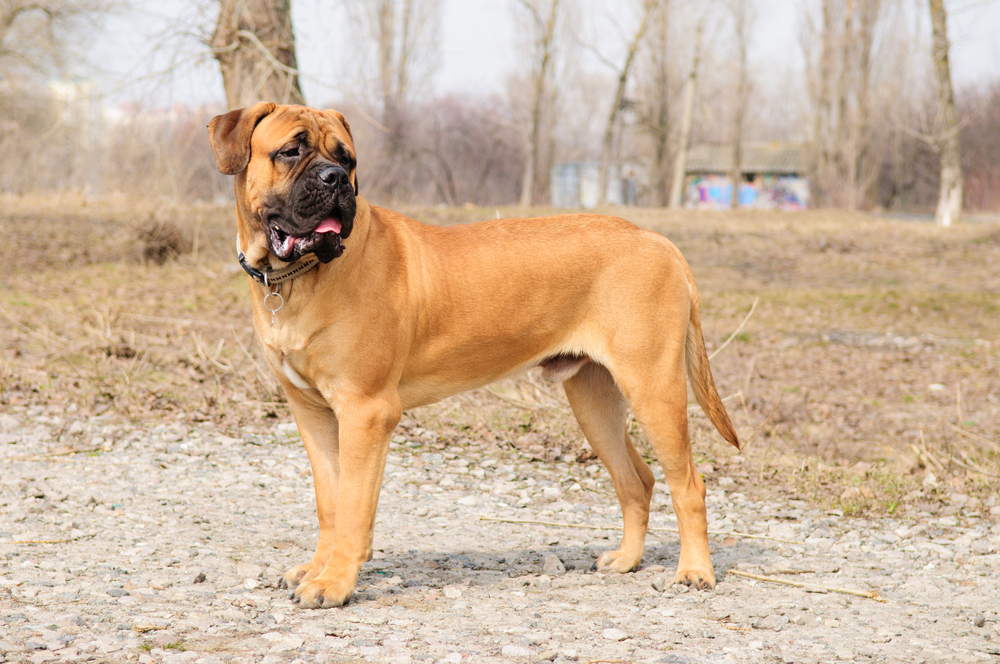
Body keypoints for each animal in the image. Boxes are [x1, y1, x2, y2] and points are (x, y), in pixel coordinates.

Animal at [207, 102, 740, 608]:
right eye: (290, 151)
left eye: (347, 159)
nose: (335, 179)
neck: (297, 278)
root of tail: (659, 241)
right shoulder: (312, 413)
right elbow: (330, 502)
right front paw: (318, 569)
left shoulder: (366, 411)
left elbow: (354, 506)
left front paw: (335, 583)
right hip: (594, 399)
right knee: (637, 480)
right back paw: (627, 560)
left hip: (654, 389)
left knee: (688, 485)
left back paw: (695, 572)